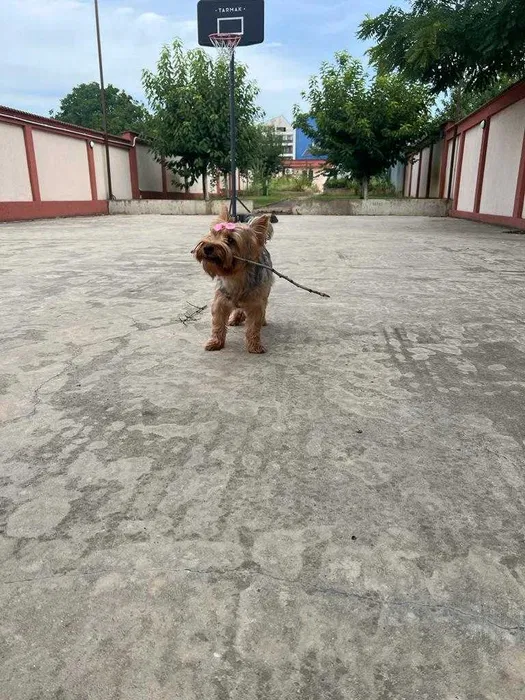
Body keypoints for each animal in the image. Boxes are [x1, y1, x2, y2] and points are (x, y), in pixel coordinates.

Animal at [193, 206, 274, 354]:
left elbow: (254, 326)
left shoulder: (256, 303)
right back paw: (235, 318)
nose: (207, 247)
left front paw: (254, 346)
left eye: (230, 240)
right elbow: (218, 324)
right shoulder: (220, 301)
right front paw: (215, 342)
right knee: (237, 309)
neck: (235, 276)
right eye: (213, 234)